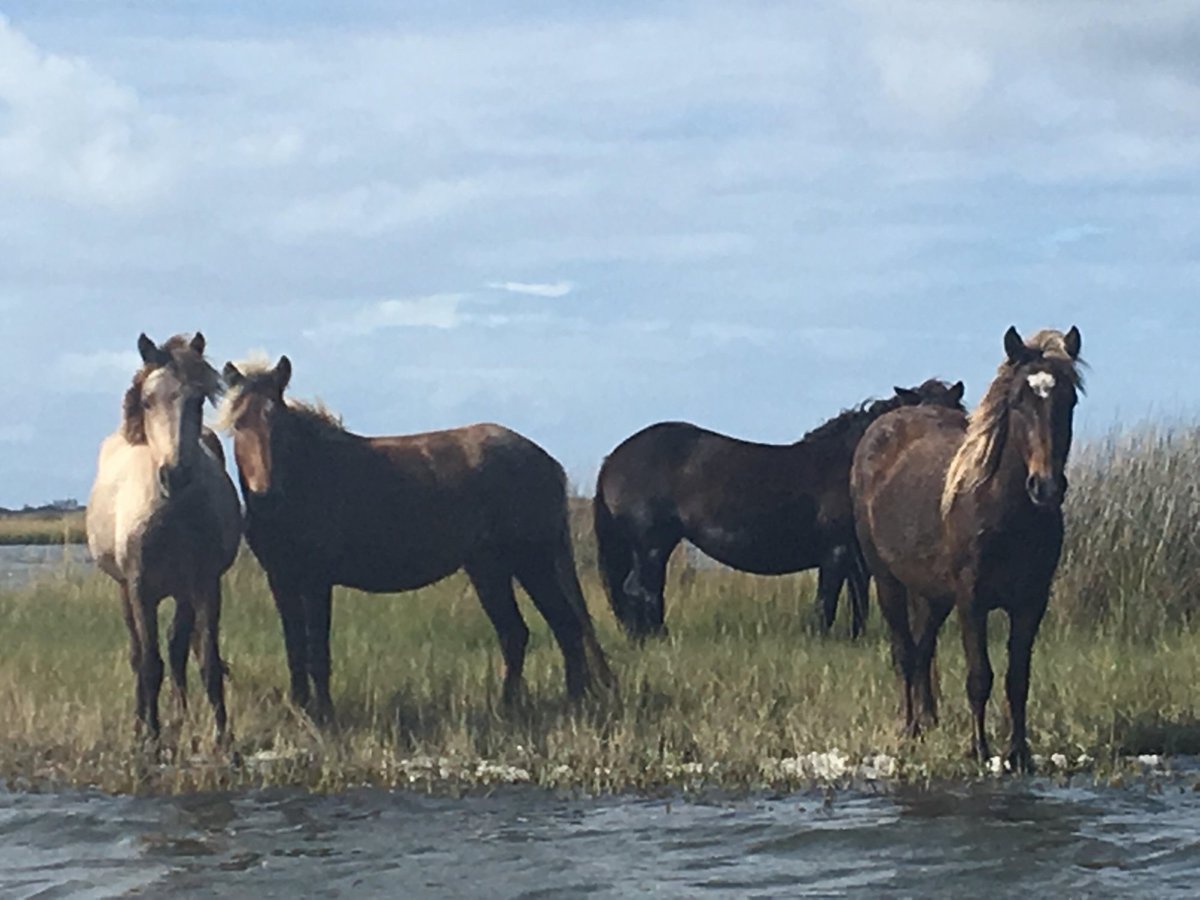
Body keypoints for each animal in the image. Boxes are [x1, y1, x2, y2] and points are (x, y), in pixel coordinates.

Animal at [85, 336, 241, 744]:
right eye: (147, 401)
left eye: (198, 400)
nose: (176, 475)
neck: (172, 516)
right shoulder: (140, 588)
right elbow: (149, 663)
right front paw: (151, 738)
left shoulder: (205, 585)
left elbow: (207, 662)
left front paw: (222, 737)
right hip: (125, 589)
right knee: (139, 655)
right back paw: (142, 721)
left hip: (183, 592)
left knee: (177, 649)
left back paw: (181, 717)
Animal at [219, 355, 614, 724]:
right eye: (238, 424)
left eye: (280, 425)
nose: (267, 494)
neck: (304, 480)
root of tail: (548, 462)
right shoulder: (281, 579)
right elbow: (295, 649)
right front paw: (300, 708)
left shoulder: (316, 581)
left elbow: (317, 651)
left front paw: (325, 716)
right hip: (489, 568)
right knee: (515, 633)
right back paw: (509, 706)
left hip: (532, 562)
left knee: (565, 627)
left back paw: (573, 703)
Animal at [590, 379, 964, 643]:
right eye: (921, 417)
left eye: (958, 414)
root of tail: (614, 458)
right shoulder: (837, 553)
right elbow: (826, 603)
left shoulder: (858, 560)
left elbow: (858, 603)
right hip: (651, 545)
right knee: (642, 589)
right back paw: (656, 639)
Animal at [849, 328, 1084, 772]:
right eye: (1018, 401)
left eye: (1069, 401)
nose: (1045, 487)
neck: (1002, 510)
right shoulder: (971, 600)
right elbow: (980, 677)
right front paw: (980, 750)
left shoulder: (1031, 602)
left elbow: (1017, 678)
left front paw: (1019, 754)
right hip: (888, 581)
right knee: (905, 652)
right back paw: (910, 728)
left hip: (934, 595)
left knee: (923, 650)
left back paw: (926, 722)